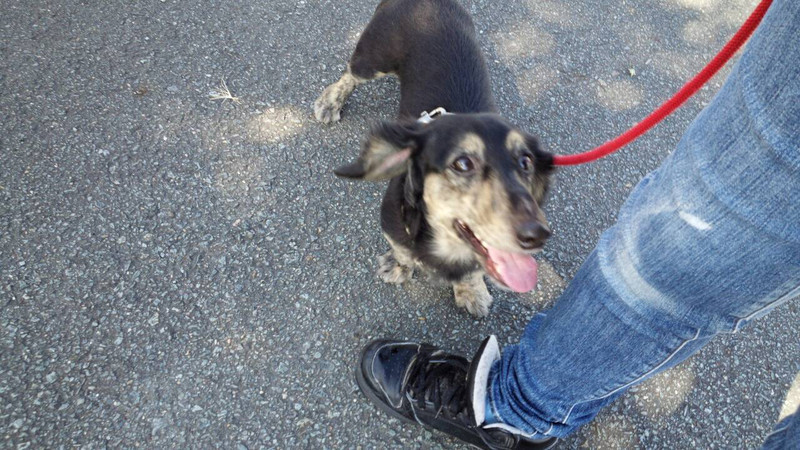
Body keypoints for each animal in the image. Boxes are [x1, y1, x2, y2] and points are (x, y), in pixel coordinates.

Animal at [314, 0, 554, 317]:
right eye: (462, 163)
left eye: (526, 162)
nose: (537, 235)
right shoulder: (392, 226)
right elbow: (404, 252)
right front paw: (399, 266)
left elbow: (473, 270)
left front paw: (471, 291)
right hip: (374, 56)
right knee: (350, 75)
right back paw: (331, 102)